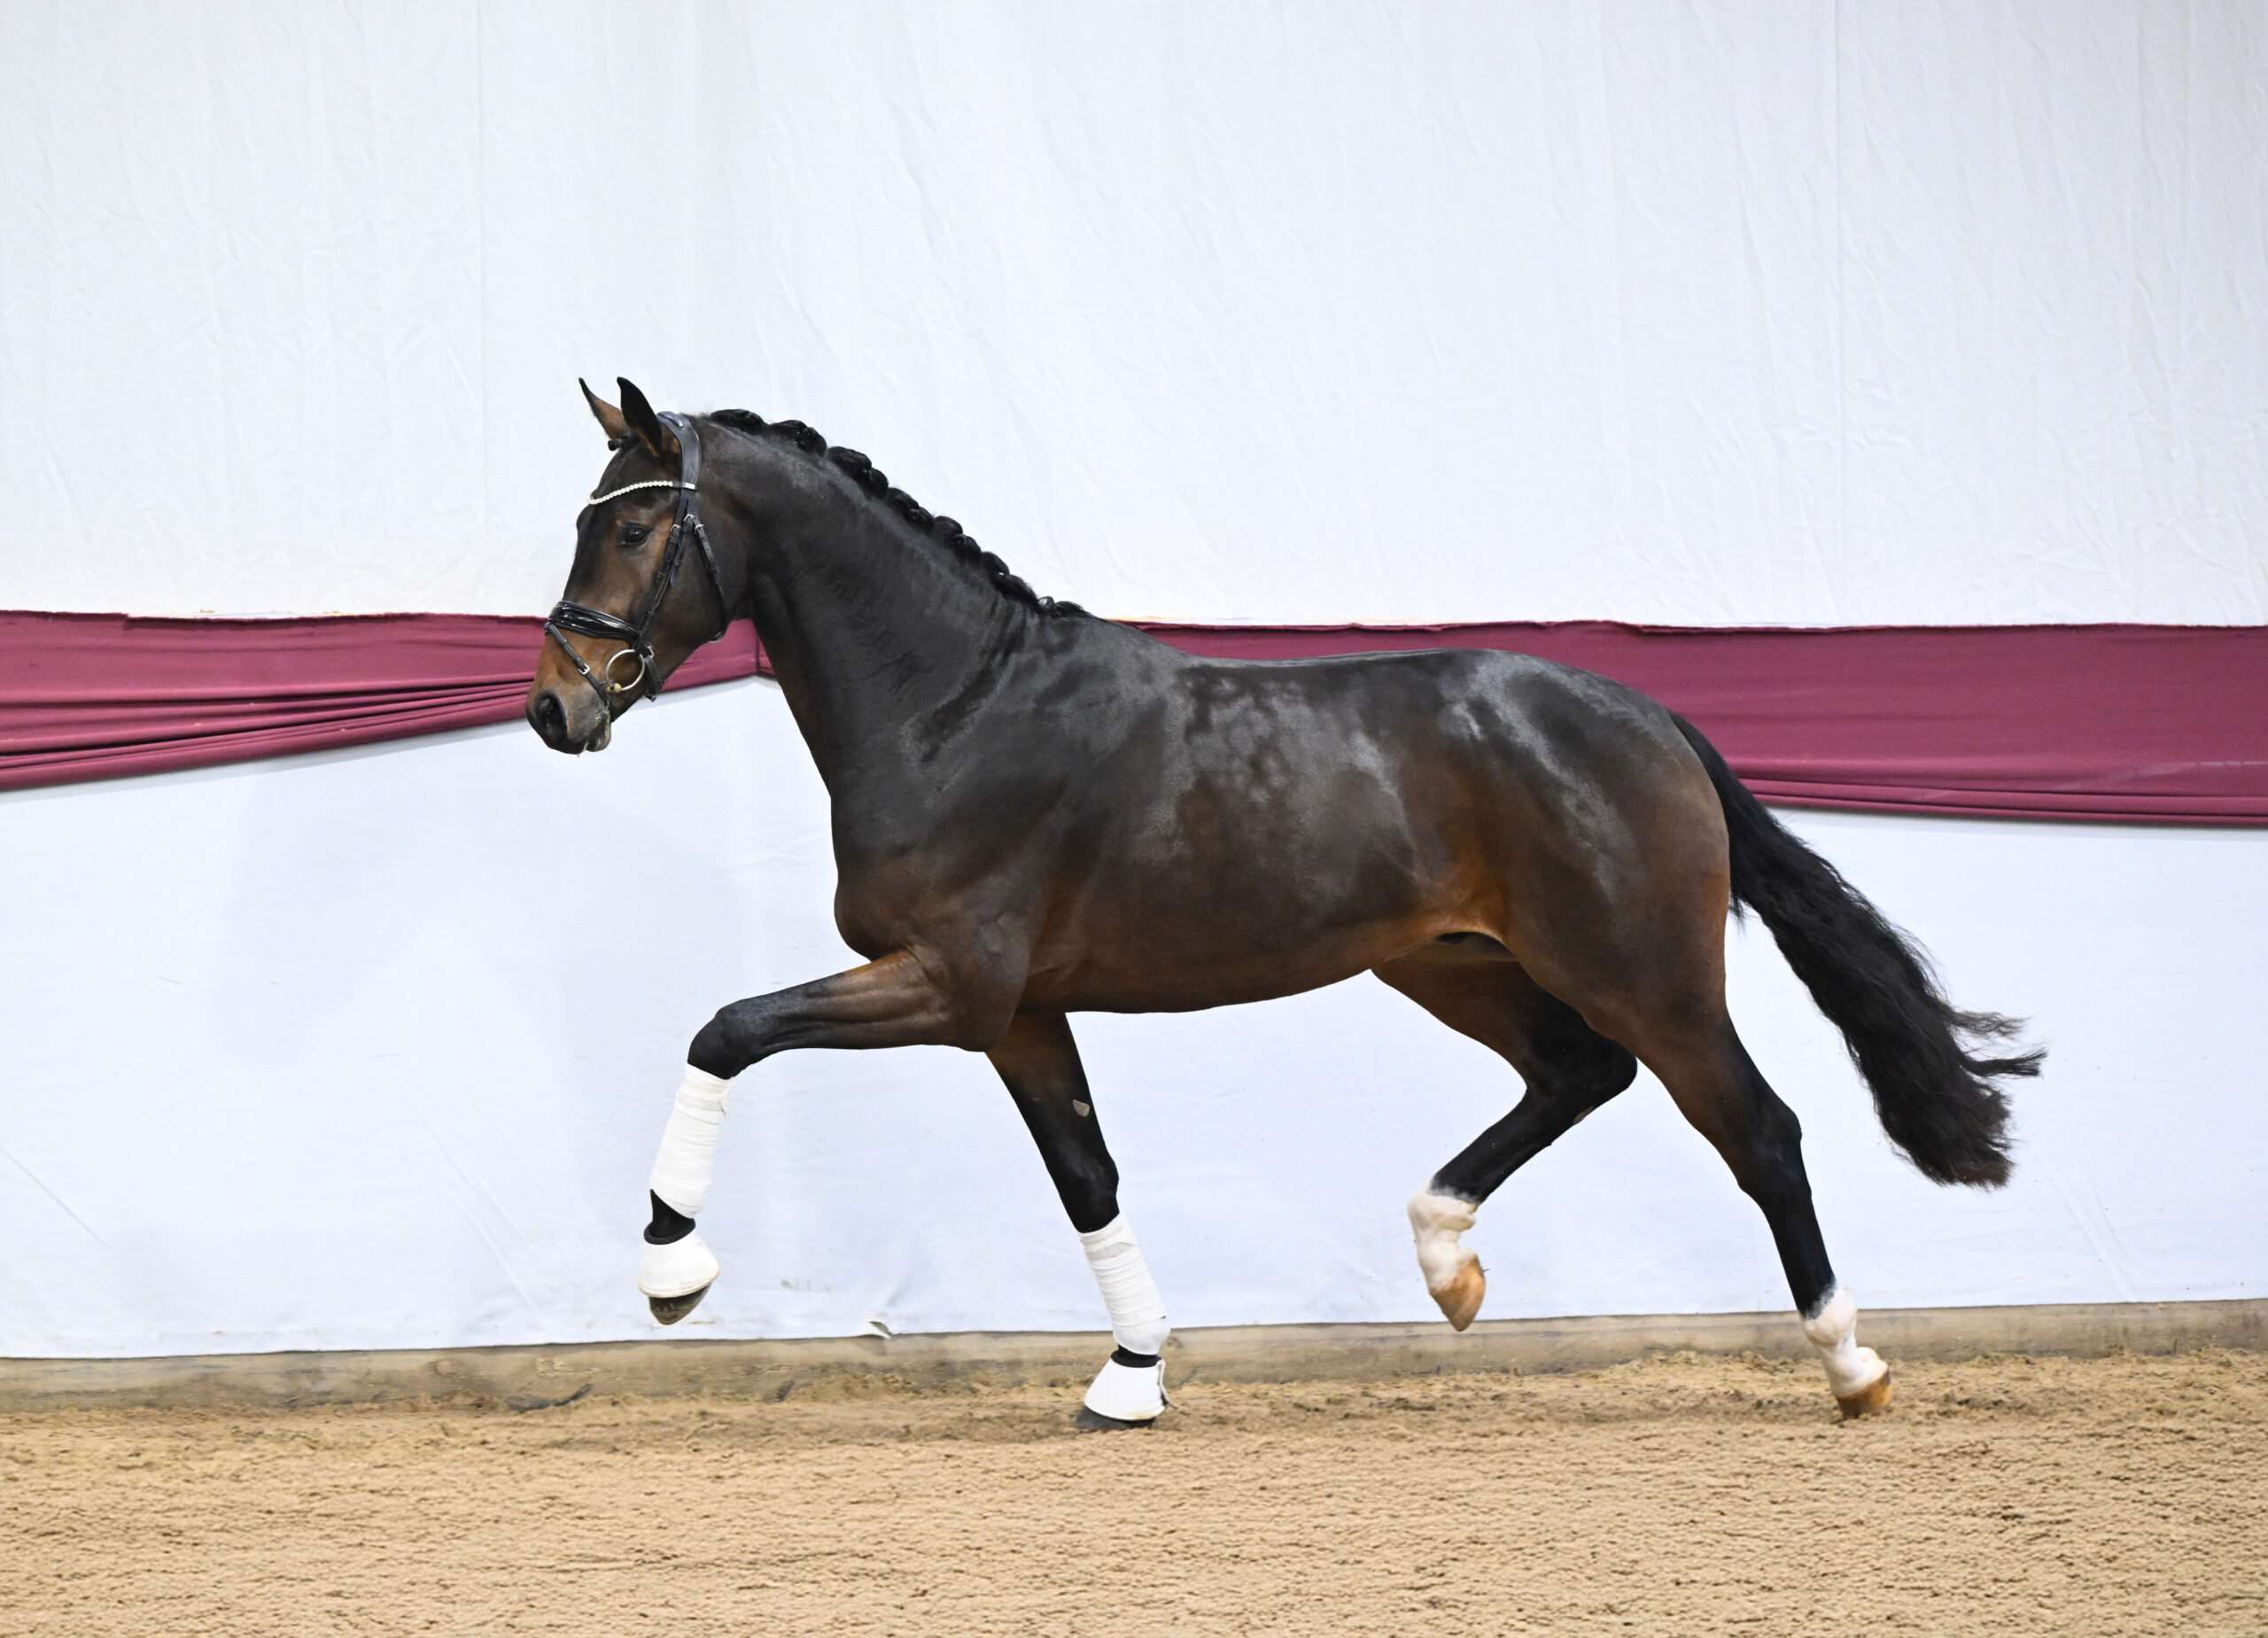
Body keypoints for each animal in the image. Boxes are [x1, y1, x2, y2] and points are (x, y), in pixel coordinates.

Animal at [526, 378, 2042, 1427]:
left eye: (640, 522)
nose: (555, 707)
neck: (957, 705)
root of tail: (1652, 717)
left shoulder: (948, 982)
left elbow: (727, 1028)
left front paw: (671, 1269)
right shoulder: (1016, 1014)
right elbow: (1087, 1178)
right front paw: (1131, 1377)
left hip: (1645, 971)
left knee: (1759, 1128)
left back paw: (1851, 1365)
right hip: (1455, 962)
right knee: (1577, 1076)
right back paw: (1446, 1265)